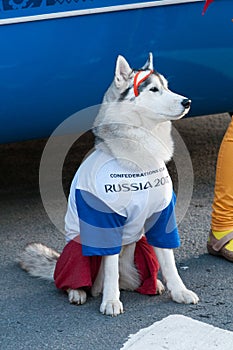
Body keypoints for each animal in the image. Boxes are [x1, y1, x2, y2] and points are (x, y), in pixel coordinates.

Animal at [19, 53, 199, 316]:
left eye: (166, 86)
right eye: (153, 89)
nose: (187, 101)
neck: (138, 163)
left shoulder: (161, 216)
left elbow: (169, 262)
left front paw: (179, 291)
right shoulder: (104, 221)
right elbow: (111, 269)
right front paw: (111, 301)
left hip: (141, 246)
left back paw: (150, 283)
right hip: (79, 244)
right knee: (74, 279)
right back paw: (79, 291)